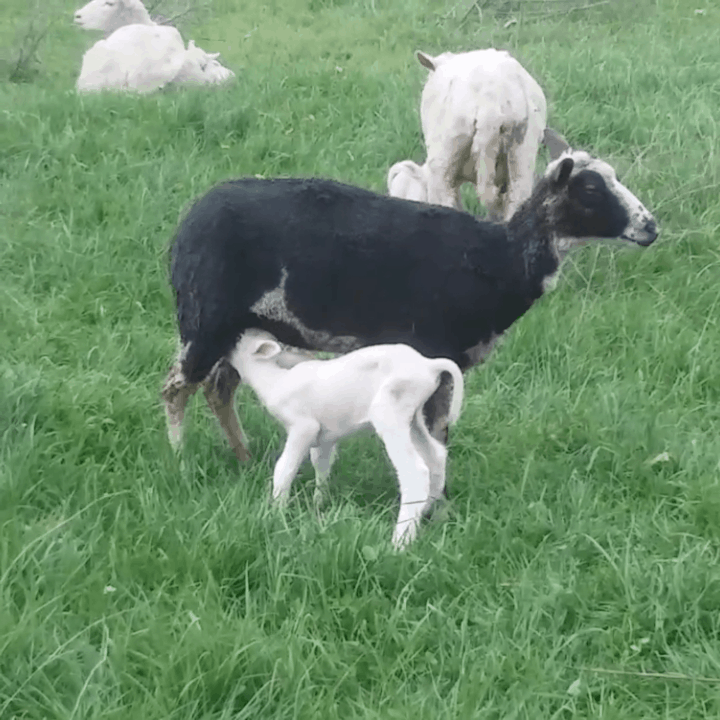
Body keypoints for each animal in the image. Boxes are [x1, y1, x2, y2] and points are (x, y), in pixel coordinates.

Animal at [231, 332, 466, 552]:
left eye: (239, 340)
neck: (274, 380)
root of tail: (429, 365)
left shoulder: (304, 426)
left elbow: (284, 468)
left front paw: (275, 512)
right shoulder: (324, 436)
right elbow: (321, 464)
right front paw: (318, 503)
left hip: (391, 410)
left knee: (415, 471)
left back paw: (400, 542)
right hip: (415, 417)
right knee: (436, 456)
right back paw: (427, 511)